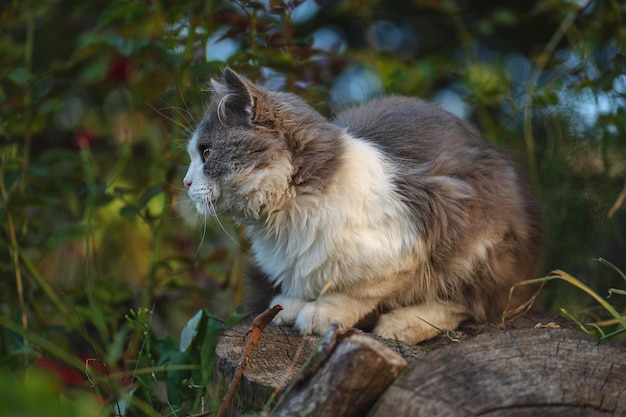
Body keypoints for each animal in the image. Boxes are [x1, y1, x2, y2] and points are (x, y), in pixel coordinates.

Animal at [183, 67, 544, 342]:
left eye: (206, 153)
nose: (186, 183)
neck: (289, 214)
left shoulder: (411, 237)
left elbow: (355, 291)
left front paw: (322, 314)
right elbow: (303, 284)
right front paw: (288, 307)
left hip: (480, 246)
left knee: (469, 303)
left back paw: (402, 324)